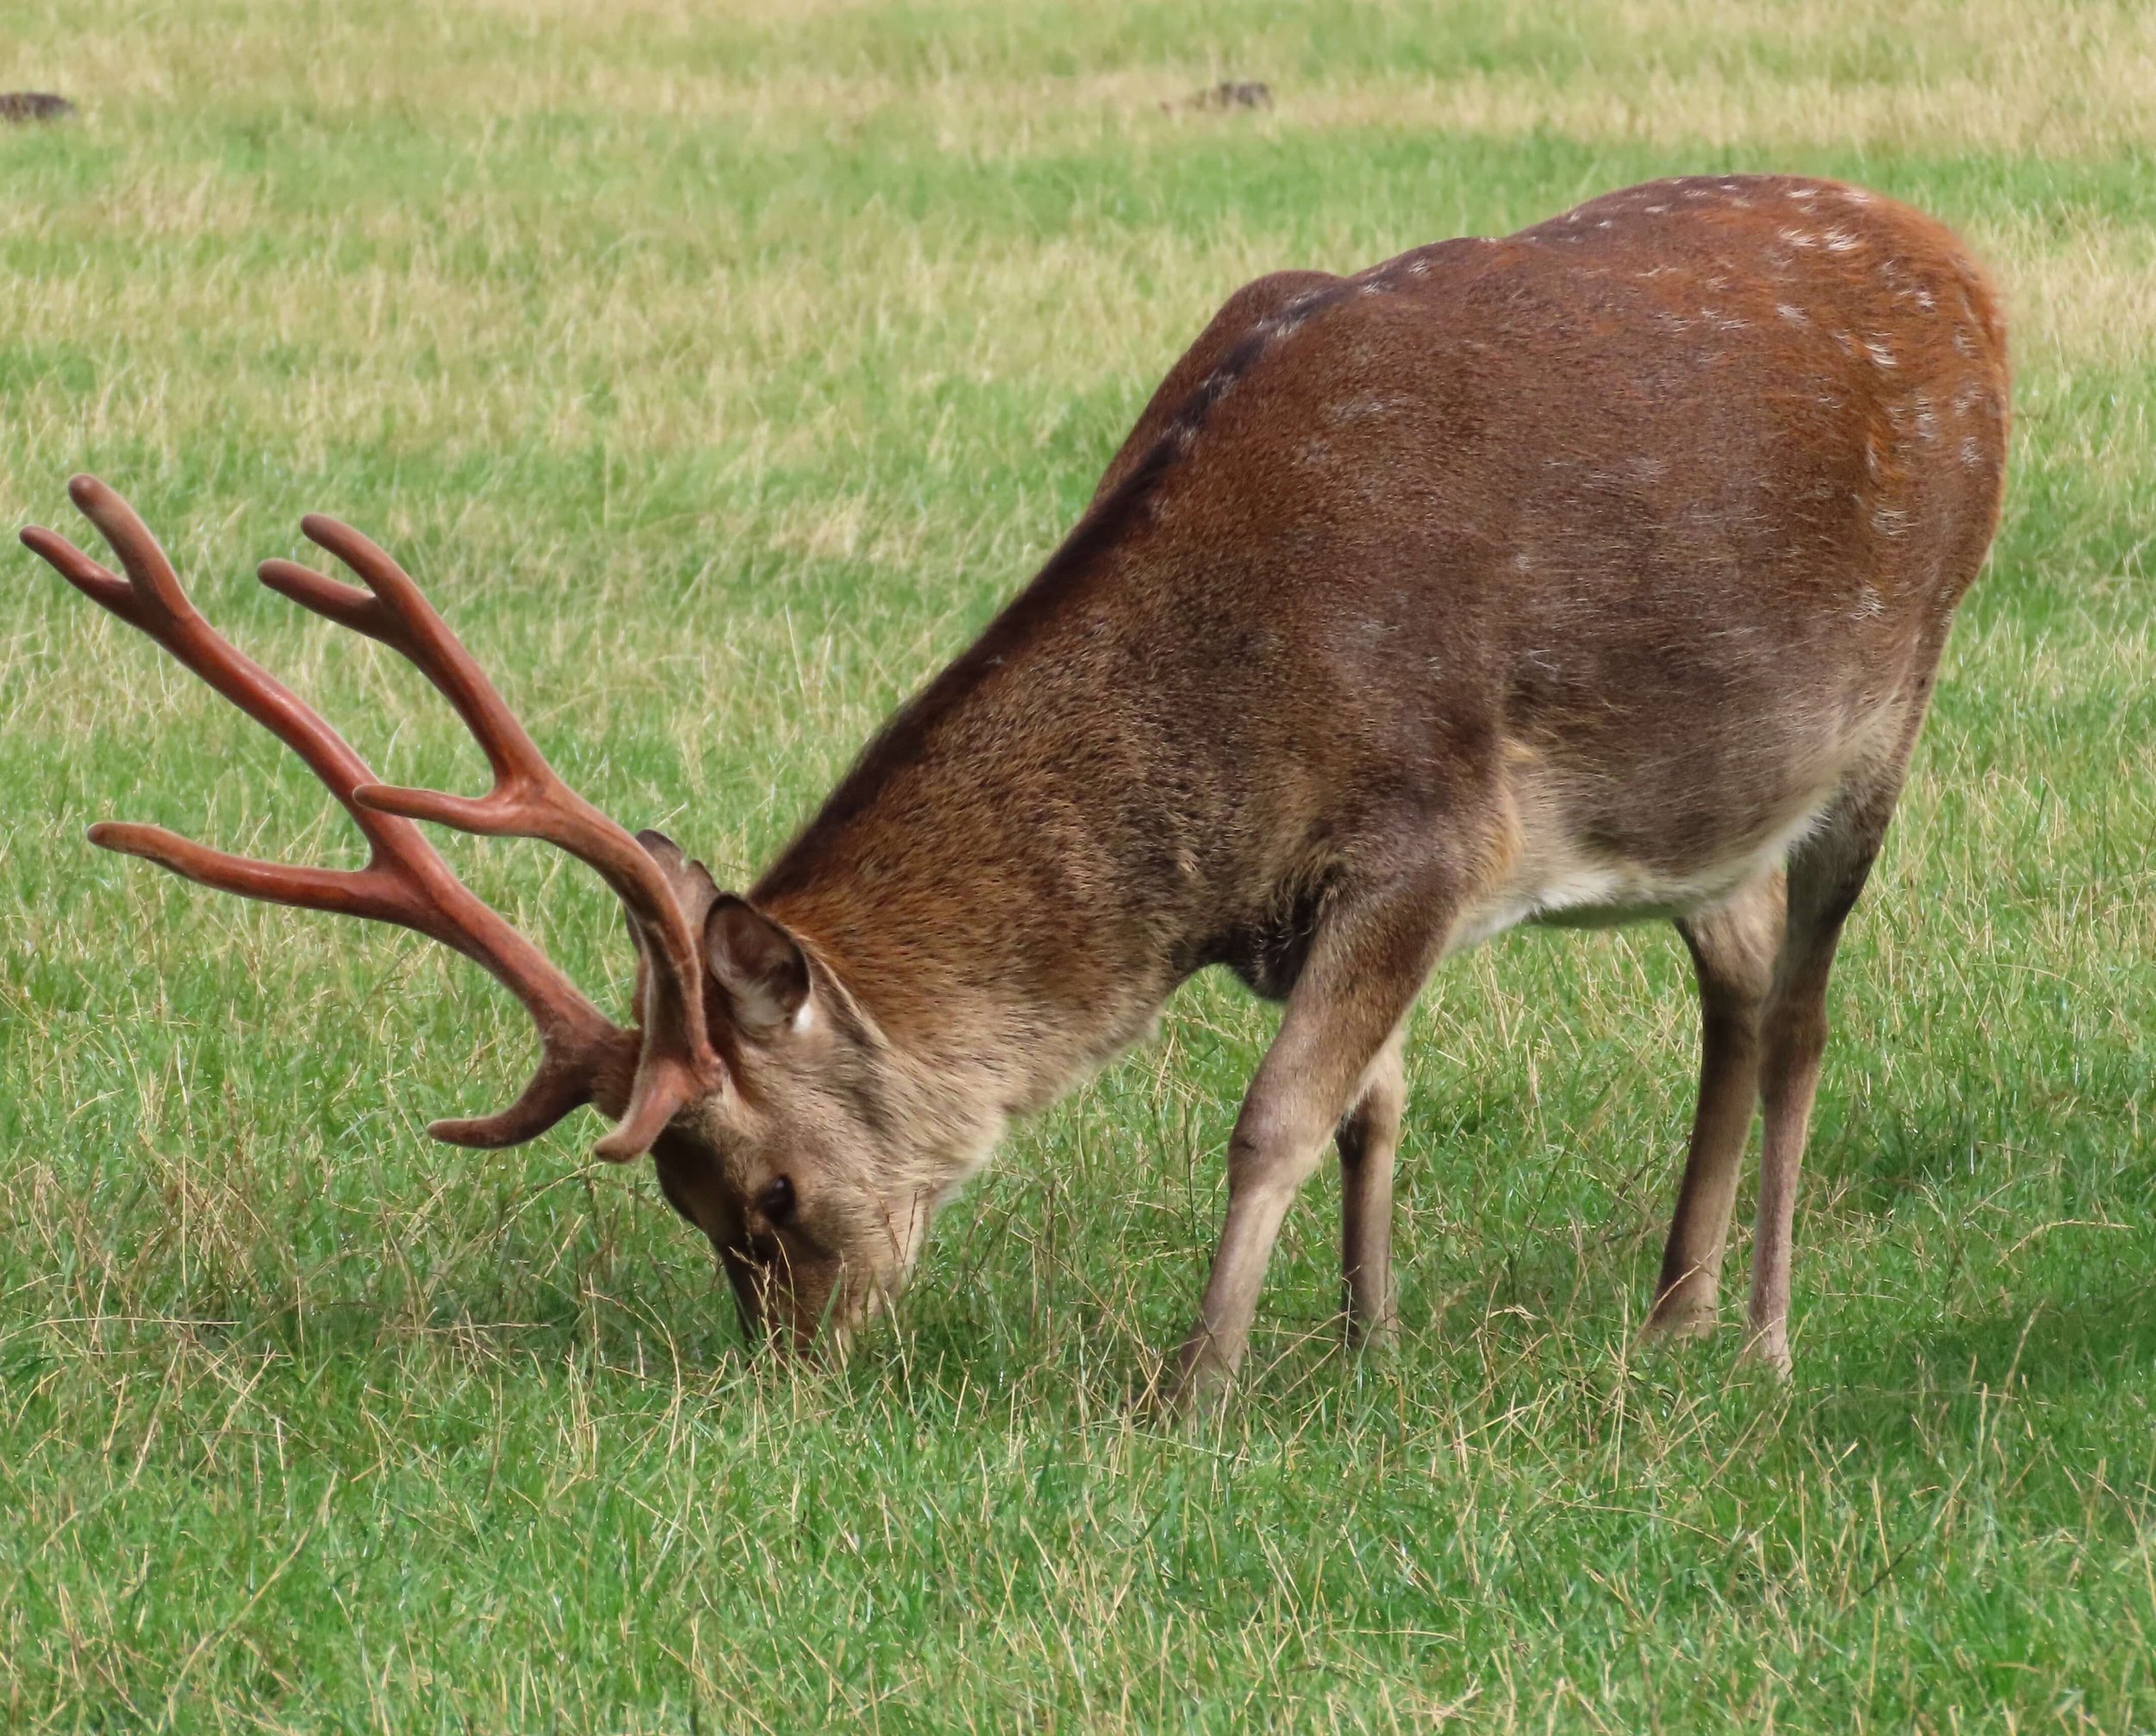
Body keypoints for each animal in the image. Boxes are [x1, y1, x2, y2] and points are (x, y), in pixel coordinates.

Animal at [25, 175, 2008, 1405]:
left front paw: (1193, 1386)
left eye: (763, 1195)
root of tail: (1963, 266)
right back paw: (1668, 1311)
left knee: (1808, 1005)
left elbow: (1279, 1112)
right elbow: (1372, 1097)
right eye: (689, 1212)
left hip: (1891, 700)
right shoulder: (1338, 898)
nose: (793, 1368)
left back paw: (1759, 1337)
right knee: (1731, 974)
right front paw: (1362, 1346)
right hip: (1706, 808)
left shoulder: (1437, 822)